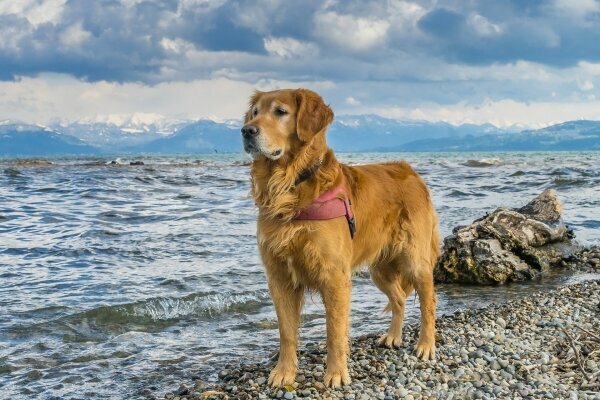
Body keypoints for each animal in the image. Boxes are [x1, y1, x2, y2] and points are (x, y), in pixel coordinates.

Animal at [240, 89, 440, 390]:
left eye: (280, 112)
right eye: (254, 113)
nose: (246, 131)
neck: (292, 184)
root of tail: (410, 171)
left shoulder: (334, 277)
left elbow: (334, 331)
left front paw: (335, 374)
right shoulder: (279, 277)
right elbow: (286, 332)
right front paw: (284, 372)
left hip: (414, 259)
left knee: (428, 301)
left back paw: (426, 345)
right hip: (379, 268)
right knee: (399, 299)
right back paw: (393, 336)